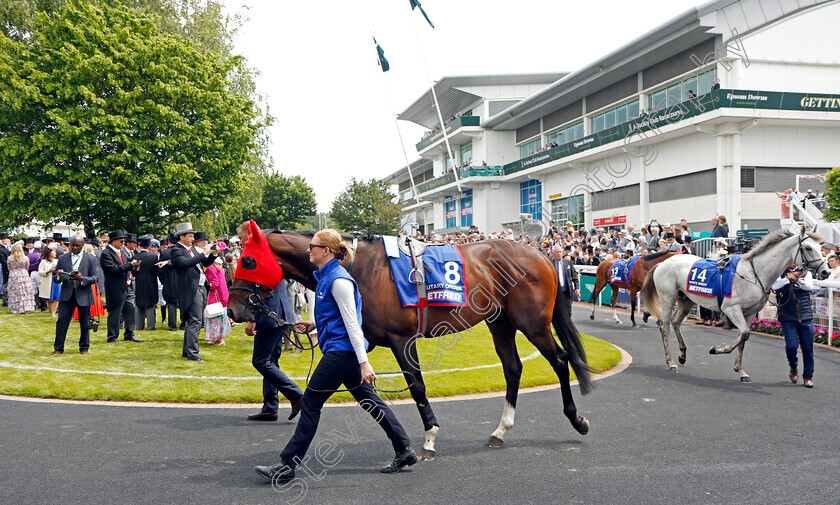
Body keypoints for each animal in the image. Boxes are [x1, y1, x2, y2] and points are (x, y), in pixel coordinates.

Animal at [226, 222, 592, 458]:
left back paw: (577, 419)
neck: (357, 266)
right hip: (500, 323)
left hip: (533, 324)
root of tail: (543, 255)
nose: (233, 309)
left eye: (247, 260)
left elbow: (416, 386)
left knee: (561, 360)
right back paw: (500, 430)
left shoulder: (401, 339)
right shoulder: (364, 341)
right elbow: (365, 390)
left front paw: (429, 437)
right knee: (513, 369)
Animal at [644, 226, 828, 380]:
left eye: (820, 247)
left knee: (675, 322)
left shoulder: (750, 312)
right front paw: (716, 350)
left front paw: (740, 370)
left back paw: (682, 355)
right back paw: (671, 362)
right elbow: (744, 333)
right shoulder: (731, 308)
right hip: (668, 298)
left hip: (686, 300)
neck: (754, 273)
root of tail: (662, 263)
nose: (825, 271)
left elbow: (743, 337)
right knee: (664, 325)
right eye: (808, 248)